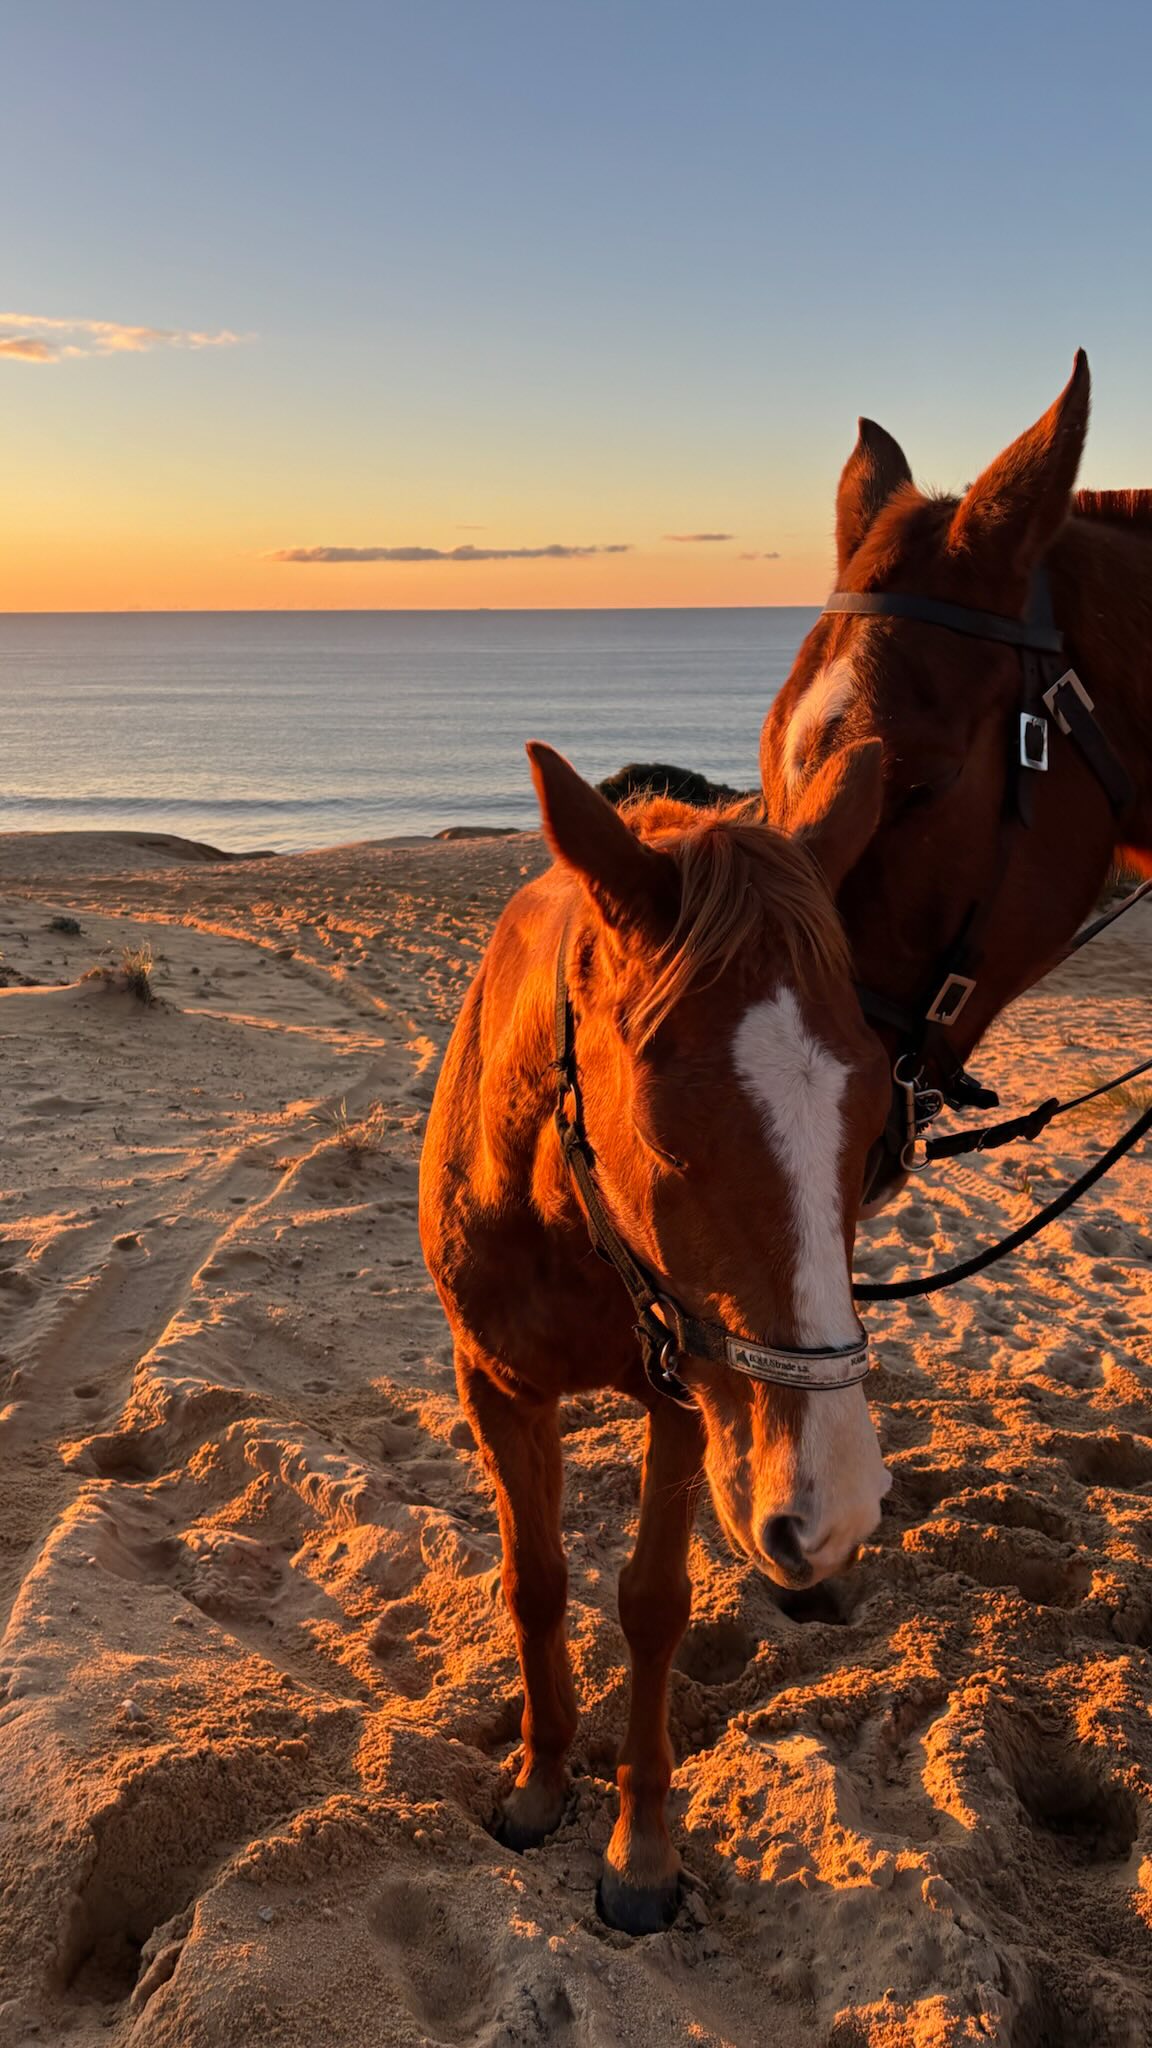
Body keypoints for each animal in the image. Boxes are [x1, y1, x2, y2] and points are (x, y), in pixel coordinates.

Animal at [419, 738, 891, 1934]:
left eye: (873, 1121)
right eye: (667, 1130)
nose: (833, 1507)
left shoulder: (691, 1400)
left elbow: (652, 1605)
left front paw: (641, 1847)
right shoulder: (495, 1386)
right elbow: (537, 1579)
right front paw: (540, 1781)